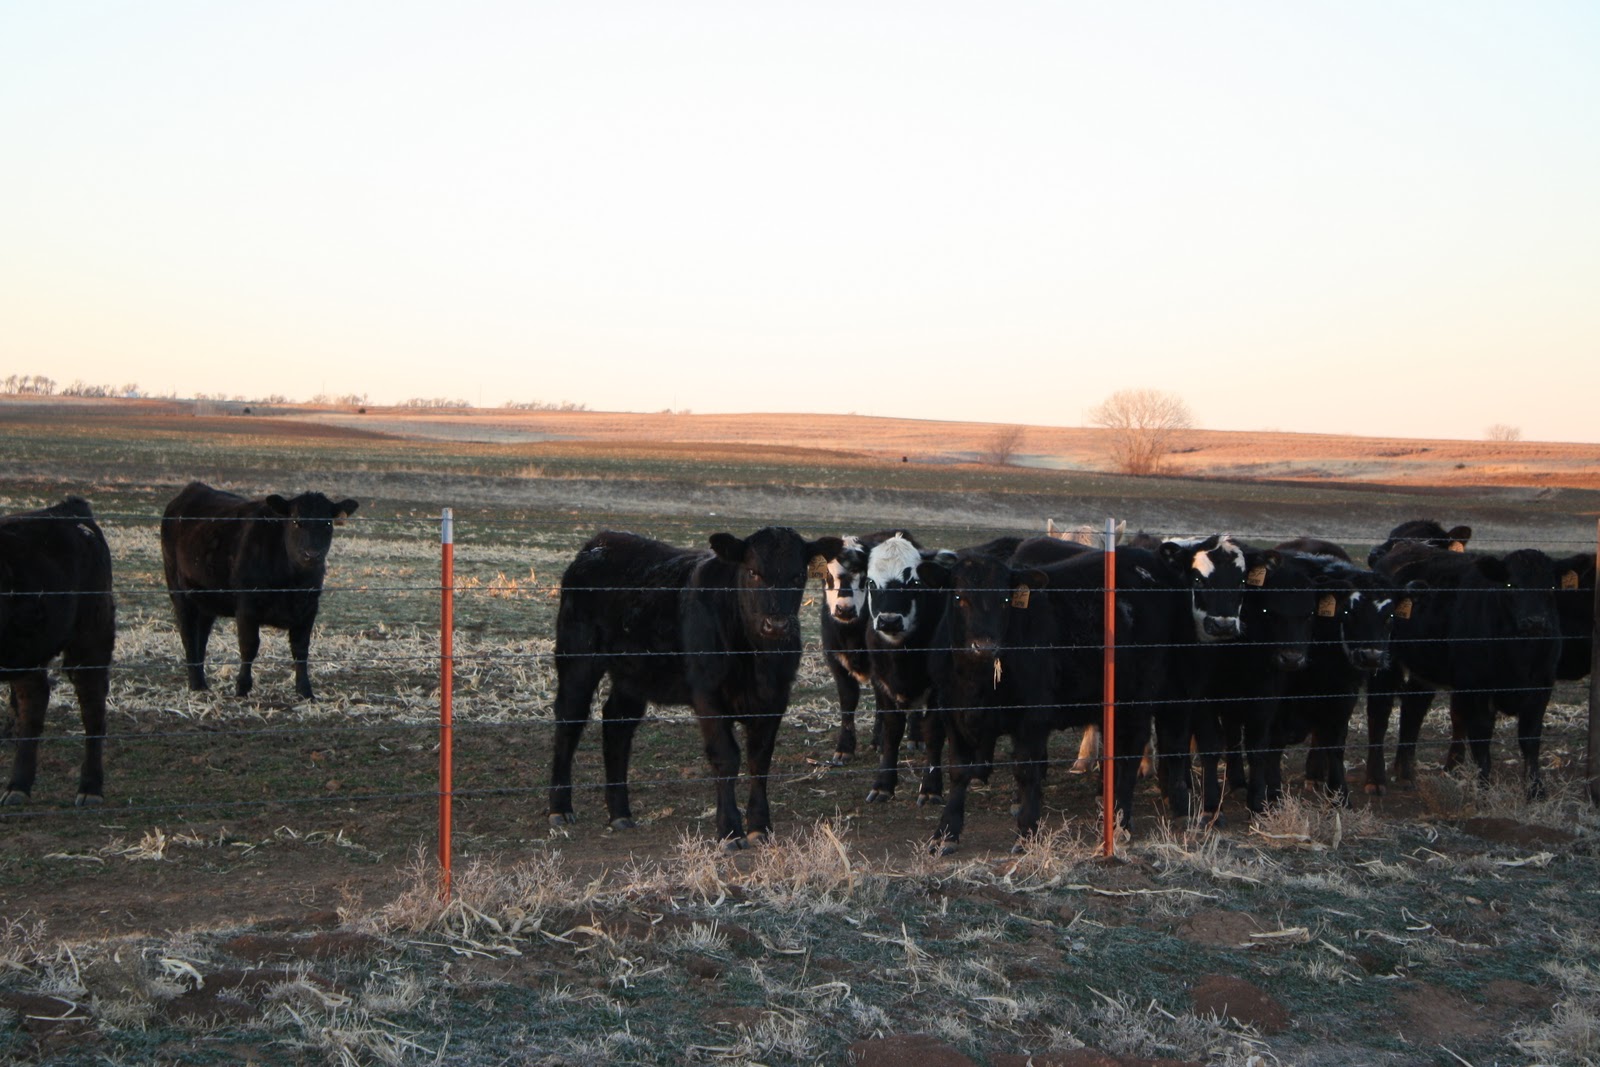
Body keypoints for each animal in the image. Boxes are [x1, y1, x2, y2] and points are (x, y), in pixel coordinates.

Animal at [1, 497, 115, 806]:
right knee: (35, 700)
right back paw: (18, 785)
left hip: (91, 638)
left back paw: (90, 788)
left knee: (92, 707)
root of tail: (67, 508)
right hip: (27, 650)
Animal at [161, 482, 359, 700]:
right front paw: (242, 687)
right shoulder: (246, 606)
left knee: (201, 637)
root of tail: (191, 489)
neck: (292, 585)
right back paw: (196, 683)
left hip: (206, 599)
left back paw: (202, 682)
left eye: (328, 524)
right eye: (296, 521)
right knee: (188, 635)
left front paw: (305, 690)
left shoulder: (309, 608)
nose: (312, 554)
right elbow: (249, 646)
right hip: (178, 590)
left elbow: (301, 649)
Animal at [547, 527, 842, 846]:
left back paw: (620, 813)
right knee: (569, 721)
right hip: (577, 658)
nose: (776, 625)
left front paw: (760, 826)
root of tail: (600, 542)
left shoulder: (776, 697)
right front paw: (730, 831)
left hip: (633, 675)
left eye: (798, 576)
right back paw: (560, 809)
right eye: (753, 571)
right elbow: (726, 757)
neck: (755, 658)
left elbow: (760, 758)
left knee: (617, 725)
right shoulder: (707, 695)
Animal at [1365, 547, 1560, 797]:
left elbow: (1530, 738)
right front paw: (1483, 789)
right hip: (1383, 663)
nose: (1535, 622)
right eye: (1511, 585)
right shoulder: (1476, 688)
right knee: (1379, 714)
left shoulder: (1541, 688)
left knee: (1413, 711)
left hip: (1424, 669)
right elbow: (1481, 738)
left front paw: (1536, 790)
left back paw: (1406, 773)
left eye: (1551, 587)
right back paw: (1375, 780)